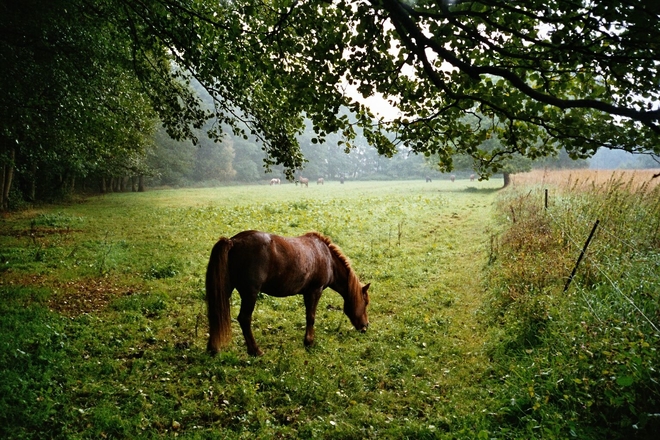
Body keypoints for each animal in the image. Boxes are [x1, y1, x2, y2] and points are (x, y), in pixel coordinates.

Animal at [206, 230, 372, 358]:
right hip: (250, 294)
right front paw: (309, 342)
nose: (365, 326)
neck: (327, 258)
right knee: (244, 319)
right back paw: (255, 351)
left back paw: (213, 349)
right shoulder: (315, 291)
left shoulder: (307, 293)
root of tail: (233, 241)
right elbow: (311, 317)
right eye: (365, 303)